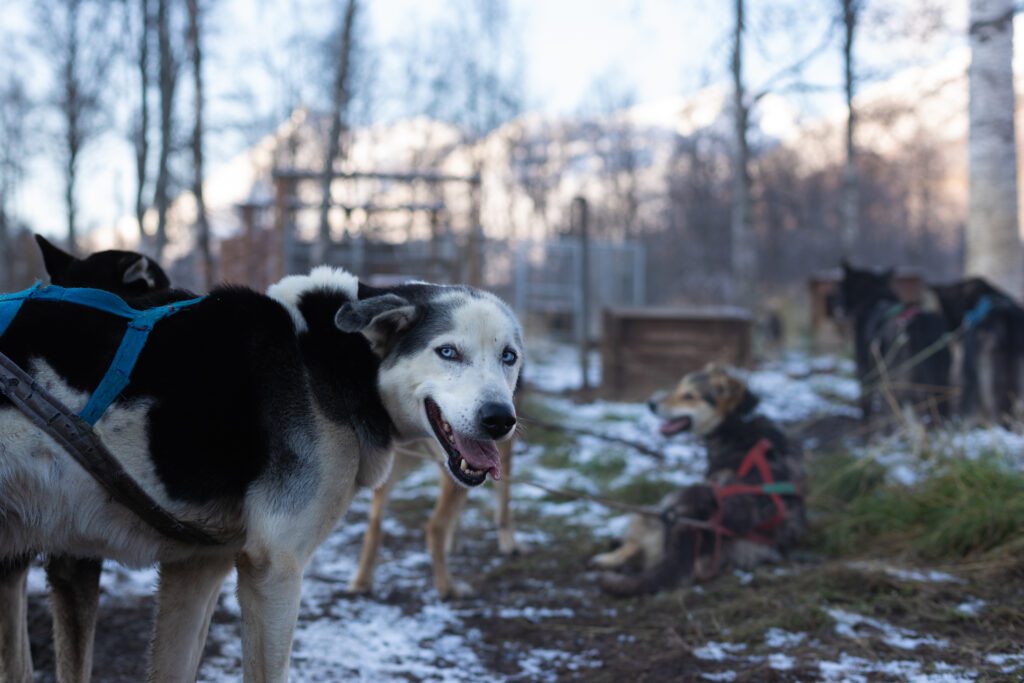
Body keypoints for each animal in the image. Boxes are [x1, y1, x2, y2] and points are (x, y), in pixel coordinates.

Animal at [0, 268, 524, 683]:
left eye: (509, 356)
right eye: (448, 352)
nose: (501, 419)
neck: (329, 359)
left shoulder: (198, 568)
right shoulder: (275, 567)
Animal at [593, 366, 806, 593]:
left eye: (689, 396)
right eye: (678, 387)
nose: (651, 404)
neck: (738, 421)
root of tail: (692, 524)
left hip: (660, 506)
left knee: (634, 543)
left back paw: (608, 556)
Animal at [831, 262, 950, 421]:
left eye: (839, 287)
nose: (833, 303)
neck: (874, 298)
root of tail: (918, 325)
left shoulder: (865, 370)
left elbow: (866, 402)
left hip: (898, 386)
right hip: (940, 386)